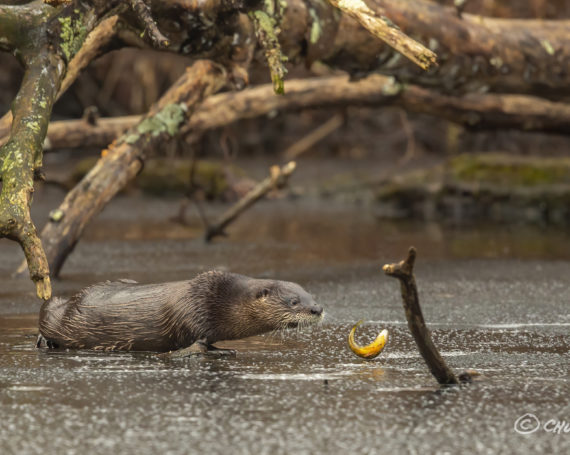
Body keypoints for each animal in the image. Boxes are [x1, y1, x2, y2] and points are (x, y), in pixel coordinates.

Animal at [37, 270, 324, 356]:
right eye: (294, 301)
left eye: (312, 295)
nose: (317, 308)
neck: (220, 300)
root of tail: (75, 298)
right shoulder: (193, 313)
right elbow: (198, 341)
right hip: (62, 319)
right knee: (45, 310)